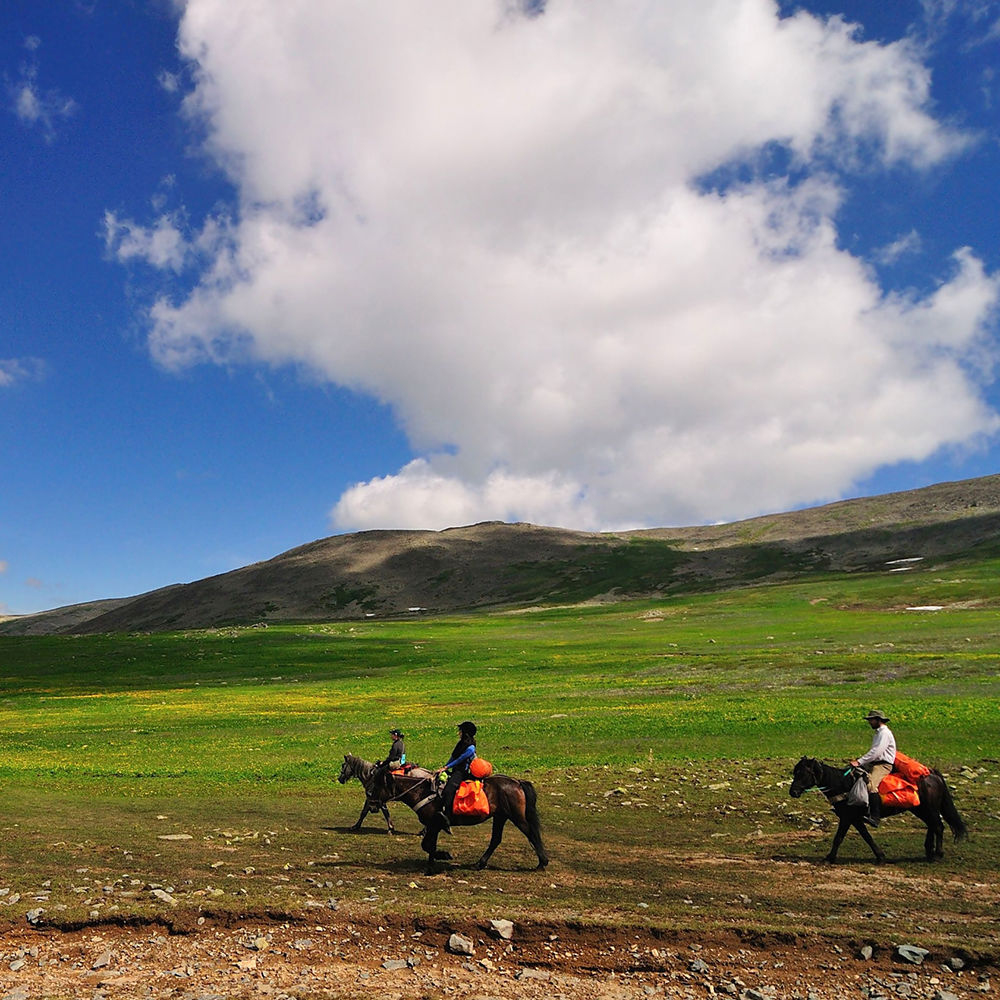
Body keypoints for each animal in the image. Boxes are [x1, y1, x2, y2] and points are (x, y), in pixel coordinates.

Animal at [374, 768, 552, 872]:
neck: (422, 792)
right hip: (500, 817)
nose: (373, 804)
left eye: (377, 786)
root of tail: (517, 782)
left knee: (532, 834)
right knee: (496, 839)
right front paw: (432, 863)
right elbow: (429, 845)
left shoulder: (434, 824)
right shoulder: (434, 825)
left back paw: (542, 863)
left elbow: (427, 845)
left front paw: (444, 856)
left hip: (516, 817)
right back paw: (480, 863)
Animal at [788, 752, 968, 864]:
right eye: (795, 772)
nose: (793, 792)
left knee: (938, 826)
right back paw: (929, 852)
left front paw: (828, 858)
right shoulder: (855, 819)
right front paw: (880, 857)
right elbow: (866, 837)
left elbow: (839, 838)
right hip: (920, 809)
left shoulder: (847, 817)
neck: (843, 784)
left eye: (803, 773)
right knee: (932, 825)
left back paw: (937, 854)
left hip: (929, 809)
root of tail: (932, 773)